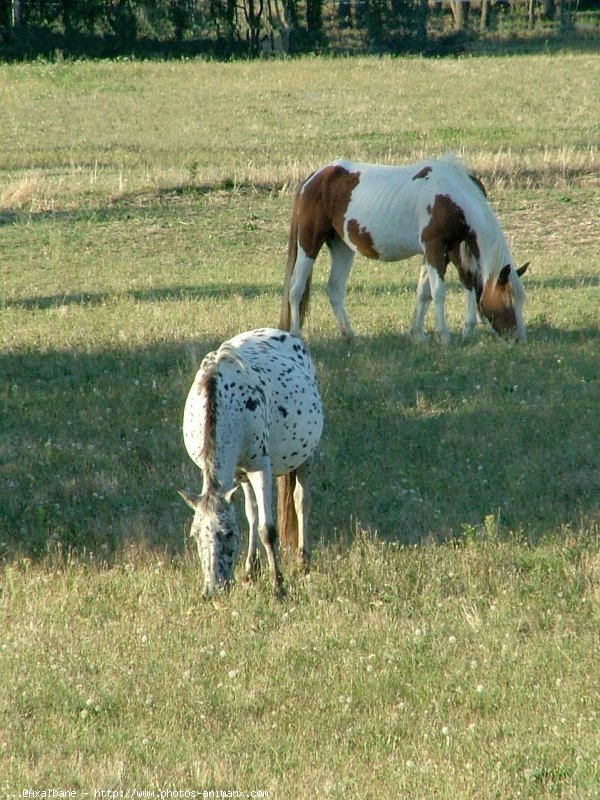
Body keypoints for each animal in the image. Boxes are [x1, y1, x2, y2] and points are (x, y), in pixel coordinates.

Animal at [179, 328, 324, 596]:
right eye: (195, 535)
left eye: (227, 534)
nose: (212, 589)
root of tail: (287, 334)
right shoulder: (239, 472)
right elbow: (251, 516)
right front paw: (251, 571)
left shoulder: (260, 467)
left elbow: (268, 529)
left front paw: (278, 585)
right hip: (243, 474)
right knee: (252, 510)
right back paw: (252, 569)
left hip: (305, 456)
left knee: (301, 500)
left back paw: (303, 560)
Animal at [278, 155, 528, 344]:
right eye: (508, 300)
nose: (519, 338)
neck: (450, 196)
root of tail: (313, 178)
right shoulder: (434, 248)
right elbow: (438, 292)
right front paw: (444, 336)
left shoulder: (442, 251)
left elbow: (425, 292)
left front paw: (419, 335)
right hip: (309, 242)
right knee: (296, 288)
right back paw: (297, 334)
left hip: (342, 247)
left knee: (334, 289)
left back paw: (350, 336)